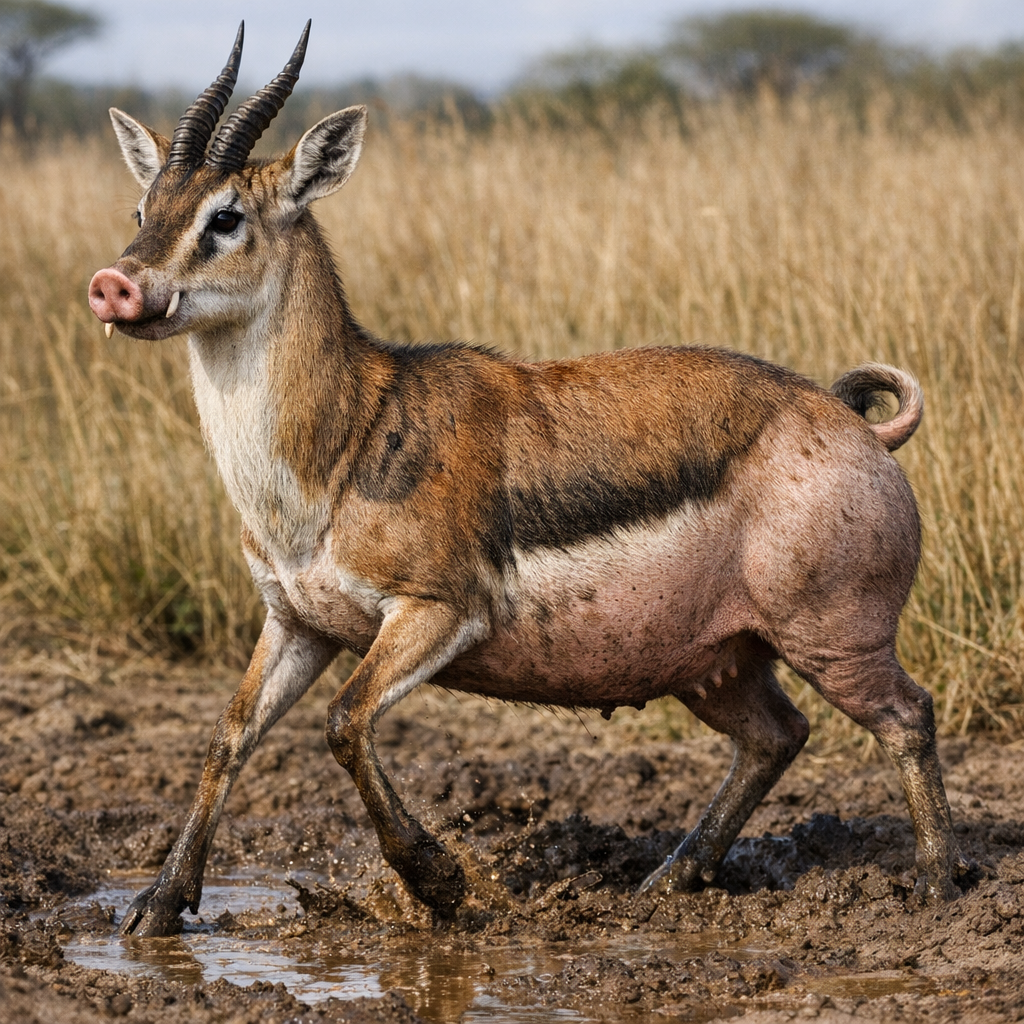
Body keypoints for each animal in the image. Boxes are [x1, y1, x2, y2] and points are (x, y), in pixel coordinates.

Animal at [89, 23, 971, 938]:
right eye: (144, 211)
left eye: (225, 217)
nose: (118, 284)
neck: (346, 440)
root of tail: (846, 418)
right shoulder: (296, 623)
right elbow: (230, 735)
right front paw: (157, 906)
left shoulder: (437, 613)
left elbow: (344, 720)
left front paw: (440, 882)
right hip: (717, 663)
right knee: (777, 735)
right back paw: (669, 880)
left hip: (835, 643)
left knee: (908, 715)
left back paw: (939, 884)